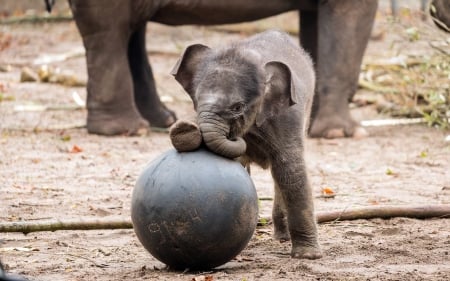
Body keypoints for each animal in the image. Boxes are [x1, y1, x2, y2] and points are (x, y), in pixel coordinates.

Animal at [169, 29, 320, 258]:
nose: (184, 127)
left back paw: (283, 238)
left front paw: (307, 256)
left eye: (237, 107)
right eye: (196, 100)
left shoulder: (287, 118)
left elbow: (290, 171)